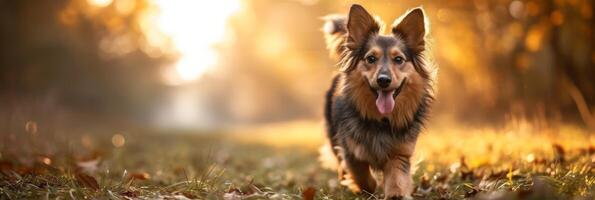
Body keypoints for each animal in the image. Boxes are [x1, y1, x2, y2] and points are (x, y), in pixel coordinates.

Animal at [324, 3, 436, 199]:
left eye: (398, 59)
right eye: (371, 58)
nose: (384, 80)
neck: (381, 120)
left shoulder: (400, 153)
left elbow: (396, 180)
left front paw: (394, 192)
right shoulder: (350, 151)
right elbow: (363, 177)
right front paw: (365, 187)